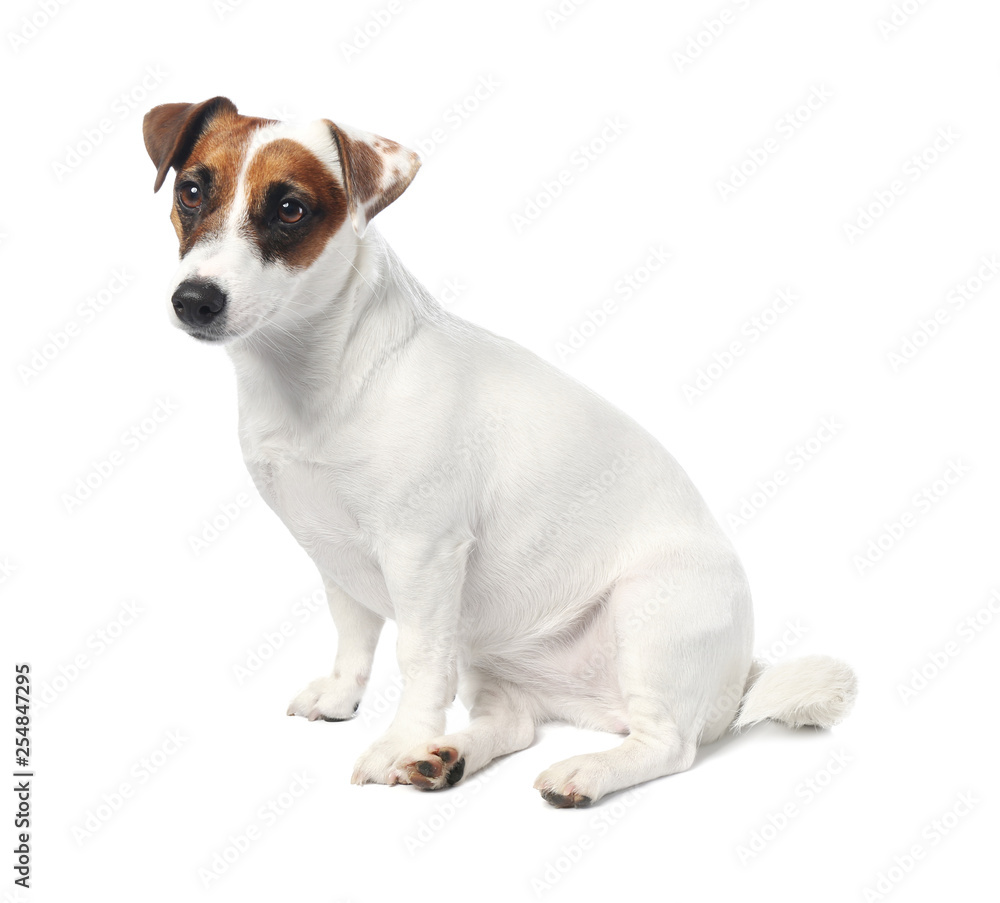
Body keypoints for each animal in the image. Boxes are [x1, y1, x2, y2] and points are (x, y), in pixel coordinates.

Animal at [143, 100, 860, 812]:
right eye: (191, 191)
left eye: (290, 209)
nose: (194, 300)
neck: (312, 371)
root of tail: (737, 677)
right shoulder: (332, 554)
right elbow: (354, 637)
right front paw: (349, 700)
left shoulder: (424, 554)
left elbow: (416, 659)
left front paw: (399, 739)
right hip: (491, 655)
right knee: (514, 724)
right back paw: (448, 757)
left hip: (648, 613)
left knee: (668, 745)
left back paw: (582, 771)